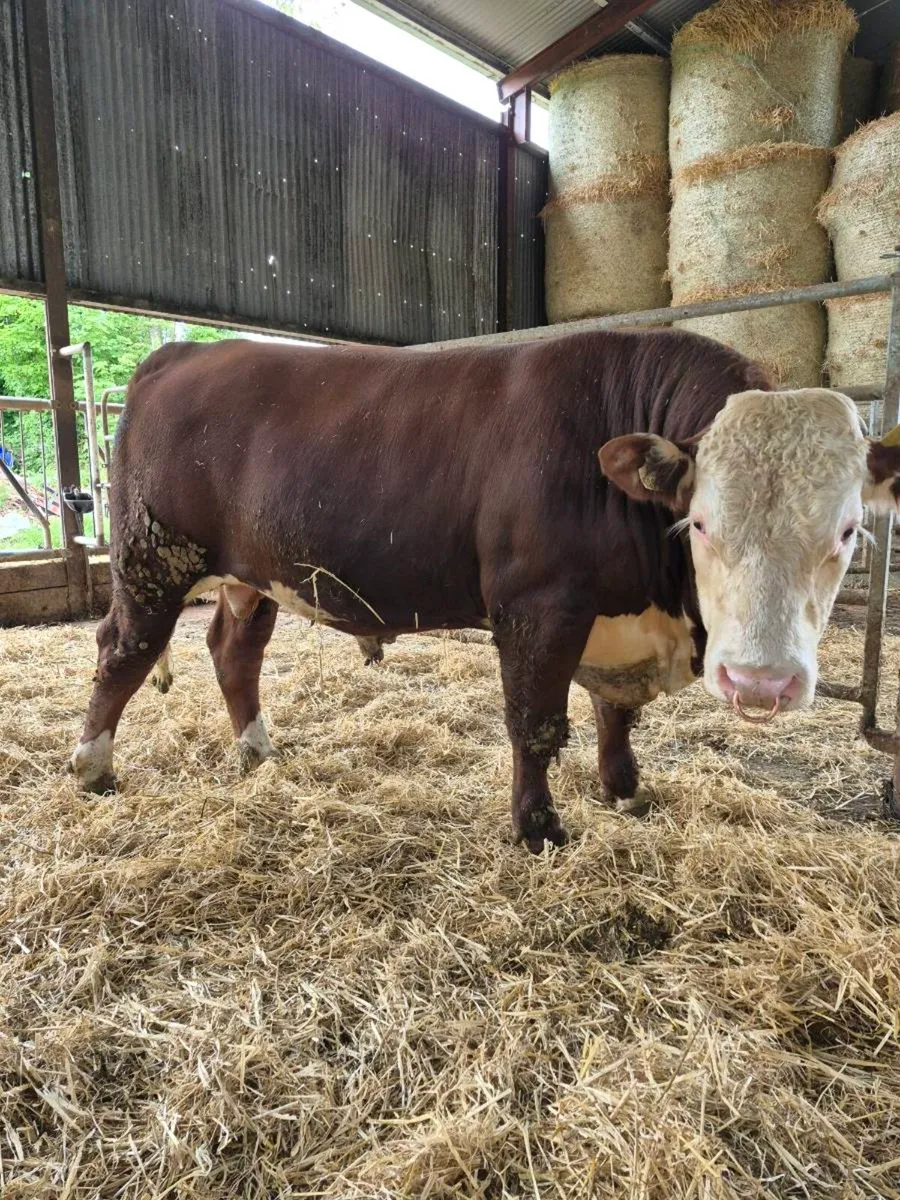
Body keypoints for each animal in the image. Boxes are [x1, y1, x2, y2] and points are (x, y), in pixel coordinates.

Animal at [69, 330, 900, 851]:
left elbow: (614, 714)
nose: (761, 682)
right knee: (121, 651)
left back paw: (257, 753)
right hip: (151, 560)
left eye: (848, 531)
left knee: (232, 650)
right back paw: (93, 767)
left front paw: (624, 791)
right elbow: (535, 724)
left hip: (252, 575)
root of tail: (182, 352)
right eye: (698, 522)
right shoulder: (538, 606)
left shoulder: (610, 619)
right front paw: (538, 830)